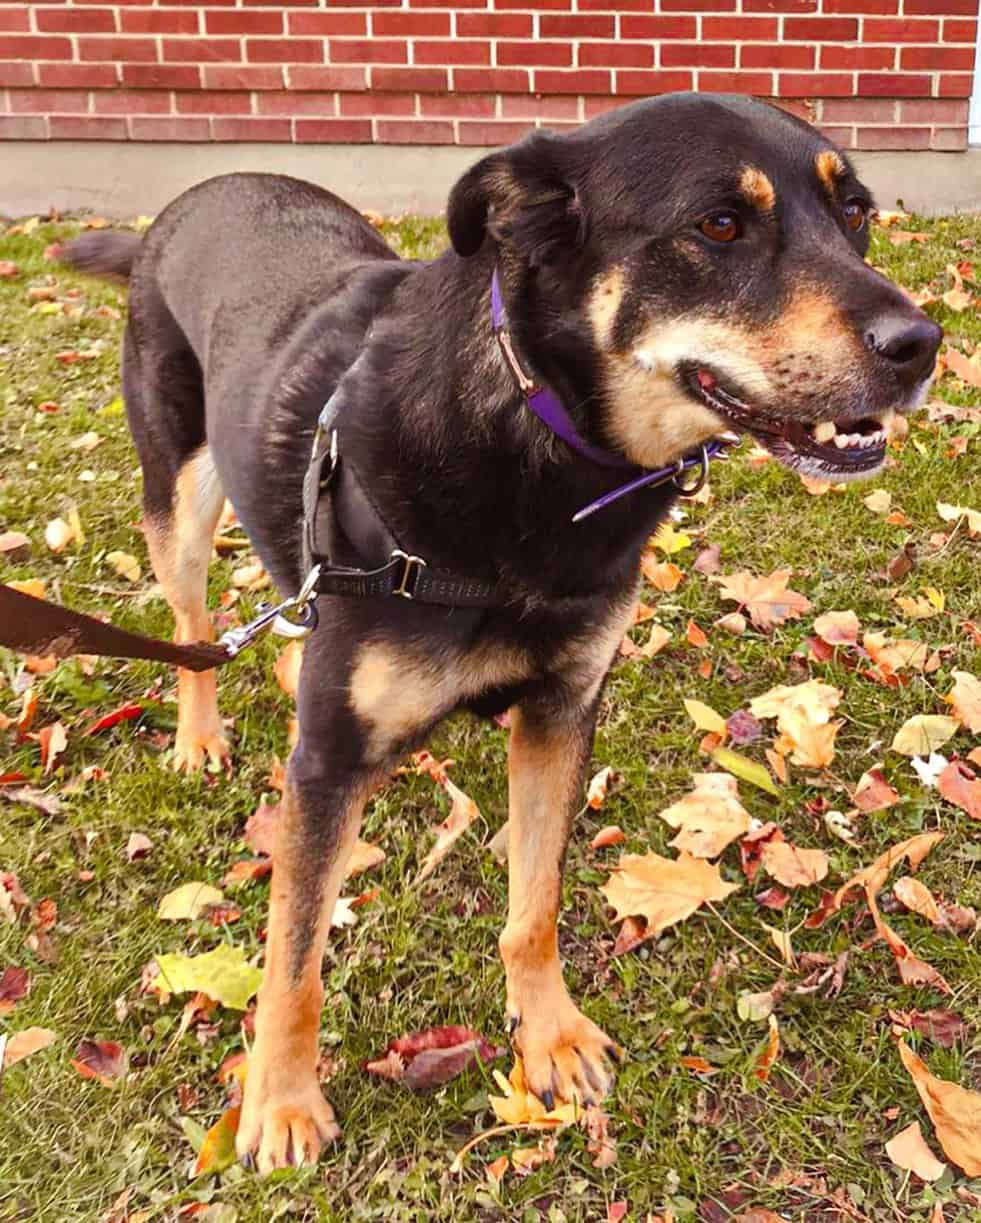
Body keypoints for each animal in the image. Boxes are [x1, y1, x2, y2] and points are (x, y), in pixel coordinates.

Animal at [62, 92, 939, 1174]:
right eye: (720, 225)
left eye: (855, 212)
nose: (922, 343)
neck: (541, 450)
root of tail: (203, 190)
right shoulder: (327, 756)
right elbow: (292, 952)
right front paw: (281, 1098)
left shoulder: (563, 709)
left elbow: (536, 903)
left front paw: (548, 1035)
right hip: (179, 498)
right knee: (193, 626)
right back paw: (198, 734)